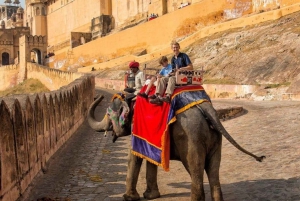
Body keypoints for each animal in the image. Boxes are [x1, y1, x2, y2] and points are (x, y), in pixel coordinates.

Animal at [87, 94, 264, 201]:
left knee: (195, 170)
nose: (98, 96)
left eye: (108, 114)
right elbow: (150, 158)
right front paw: (151, 195)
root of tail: (207, 109)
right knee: (214, 171)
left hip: (191, 138)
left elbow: (134, 157)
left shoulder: (136, 127)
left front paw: (128, 197)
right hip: (215, 138)